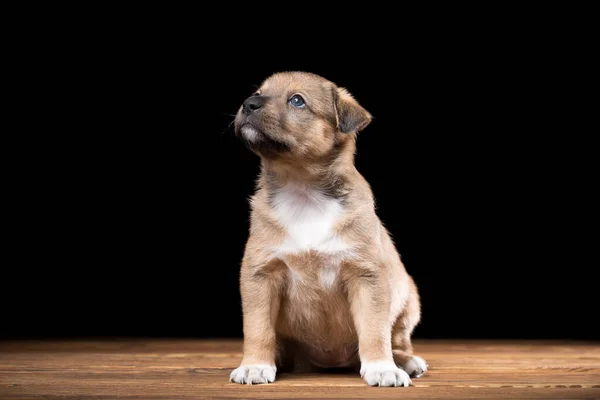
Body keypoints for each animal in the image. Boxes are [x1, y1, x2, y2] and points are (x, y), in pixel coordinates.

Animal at [229, 72, 426, 388]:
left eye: (297, 100)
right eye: (257, 93)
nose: (248, 104)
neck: (302, 189)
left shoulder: (366, 276)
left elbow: (374, 330)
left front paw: (382, 367)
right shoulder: (260, 275)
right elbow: (258, 328)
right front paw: (255, 365)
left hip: (408, 298)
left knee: (397, 340)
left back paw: (405, 362)